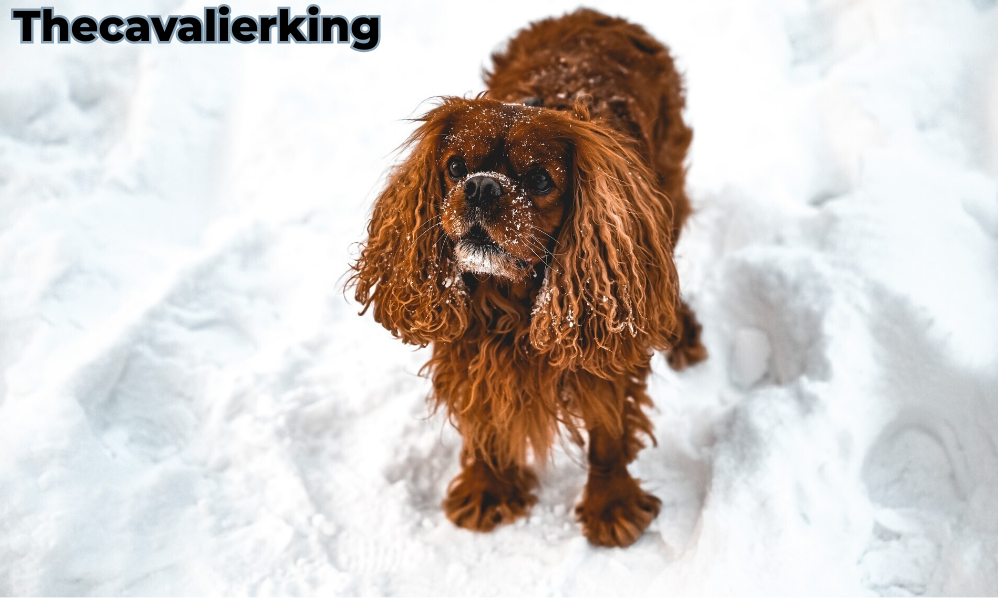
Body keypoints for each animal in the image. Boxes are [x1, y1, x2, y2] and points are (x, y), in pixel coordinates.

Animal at [348, 7, 708, 548]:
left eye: (539, 180)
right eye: (455, 167)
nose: (481, 187)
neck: (510, 301)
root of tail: (594, 12)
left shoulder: (601, 337)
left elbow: (608, 433)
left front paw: (611, 507)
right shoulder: (470, 348)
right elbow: (484, 420)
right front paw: (488, 488)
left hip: (664, 198)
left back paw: (679, 330)